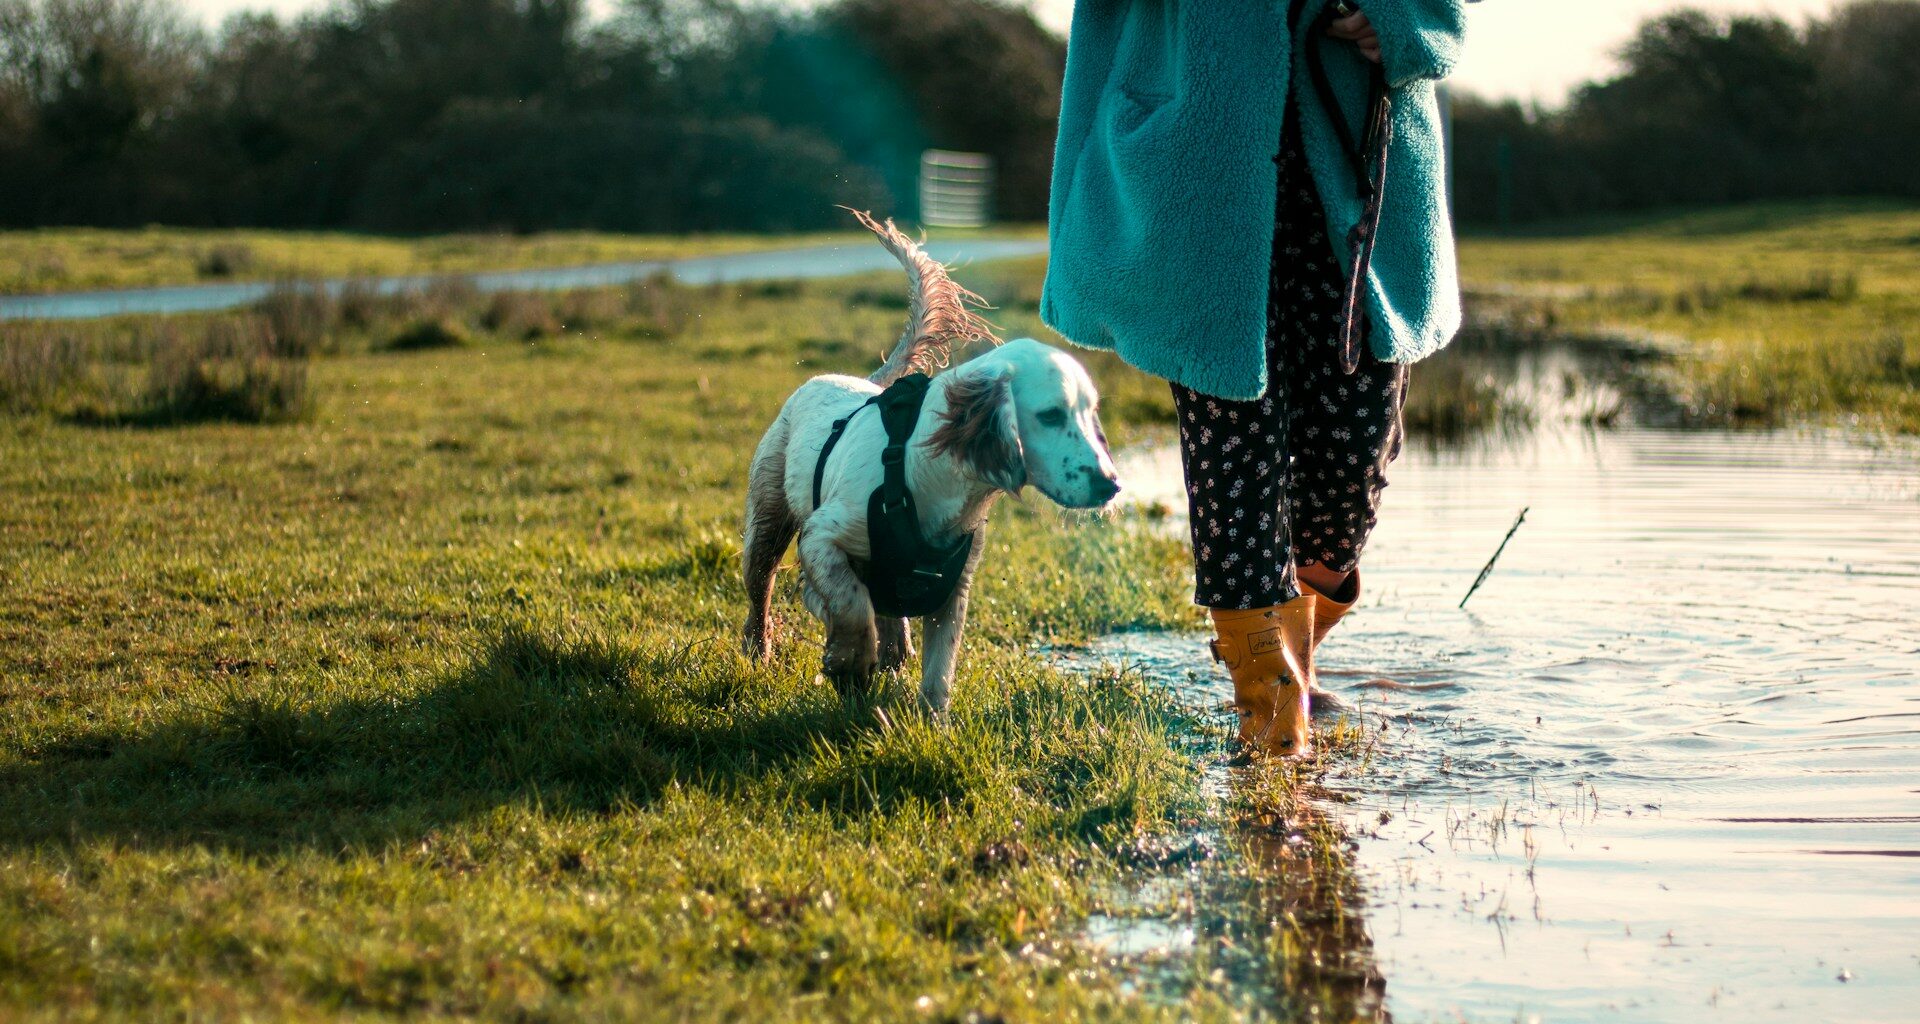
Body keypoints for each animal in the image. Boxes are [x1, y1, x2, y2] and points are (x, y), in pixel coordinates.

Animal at [737, 210, 1121, 710]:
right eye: (1051, 415)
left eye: (1090, 413)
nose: (1111, 484)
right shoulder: (821, 535)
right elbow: (850, 604)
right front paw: (849, 659)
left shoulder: (953, 586)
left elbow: (938, 673)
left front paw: (930, 721)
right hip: (767, 526)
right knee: (764, 595)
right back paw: (759, 652)